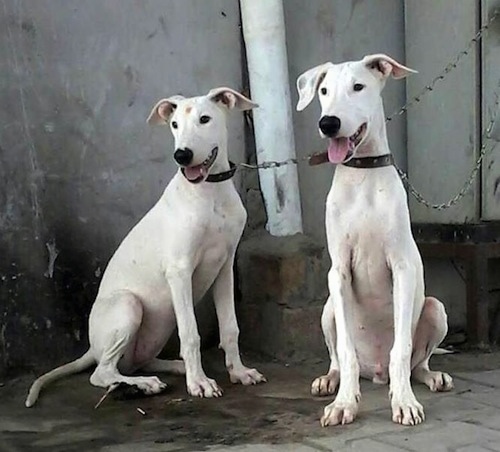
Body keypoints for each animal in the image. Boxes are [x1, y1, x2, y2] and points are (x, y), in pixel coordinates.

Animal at [24, 86, 266, 408]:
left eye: (205, 119)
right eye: (174, 125)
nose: (181, 155)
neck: (209, 191)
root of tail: (91, 346)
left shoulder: (225, 266)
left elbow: (230, 327)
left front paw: (239, 372)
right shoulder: (179, 270)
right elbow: (191, 334)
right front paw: (199, 383)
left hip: (155, 331)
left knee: (137, 362)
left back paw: (173, 369)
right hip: (128, 305)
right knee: (102, 373)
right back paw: (144, 384)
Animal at [296, 54, 454, 426]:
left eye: (358, 86)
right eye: (323, 91)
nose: (328, 123)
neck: (363, 175)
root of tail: (376, 373)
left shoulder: (402, 269)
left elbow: (402, 349)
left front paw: (405, 402)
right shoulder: (338, 272)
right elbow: (346, 351)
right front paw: (344, 404)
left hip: (435, 308)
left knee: (417, 363)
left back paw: (430, 377)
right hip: (327, 309)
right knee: (337, 358)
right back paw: (330, 380)